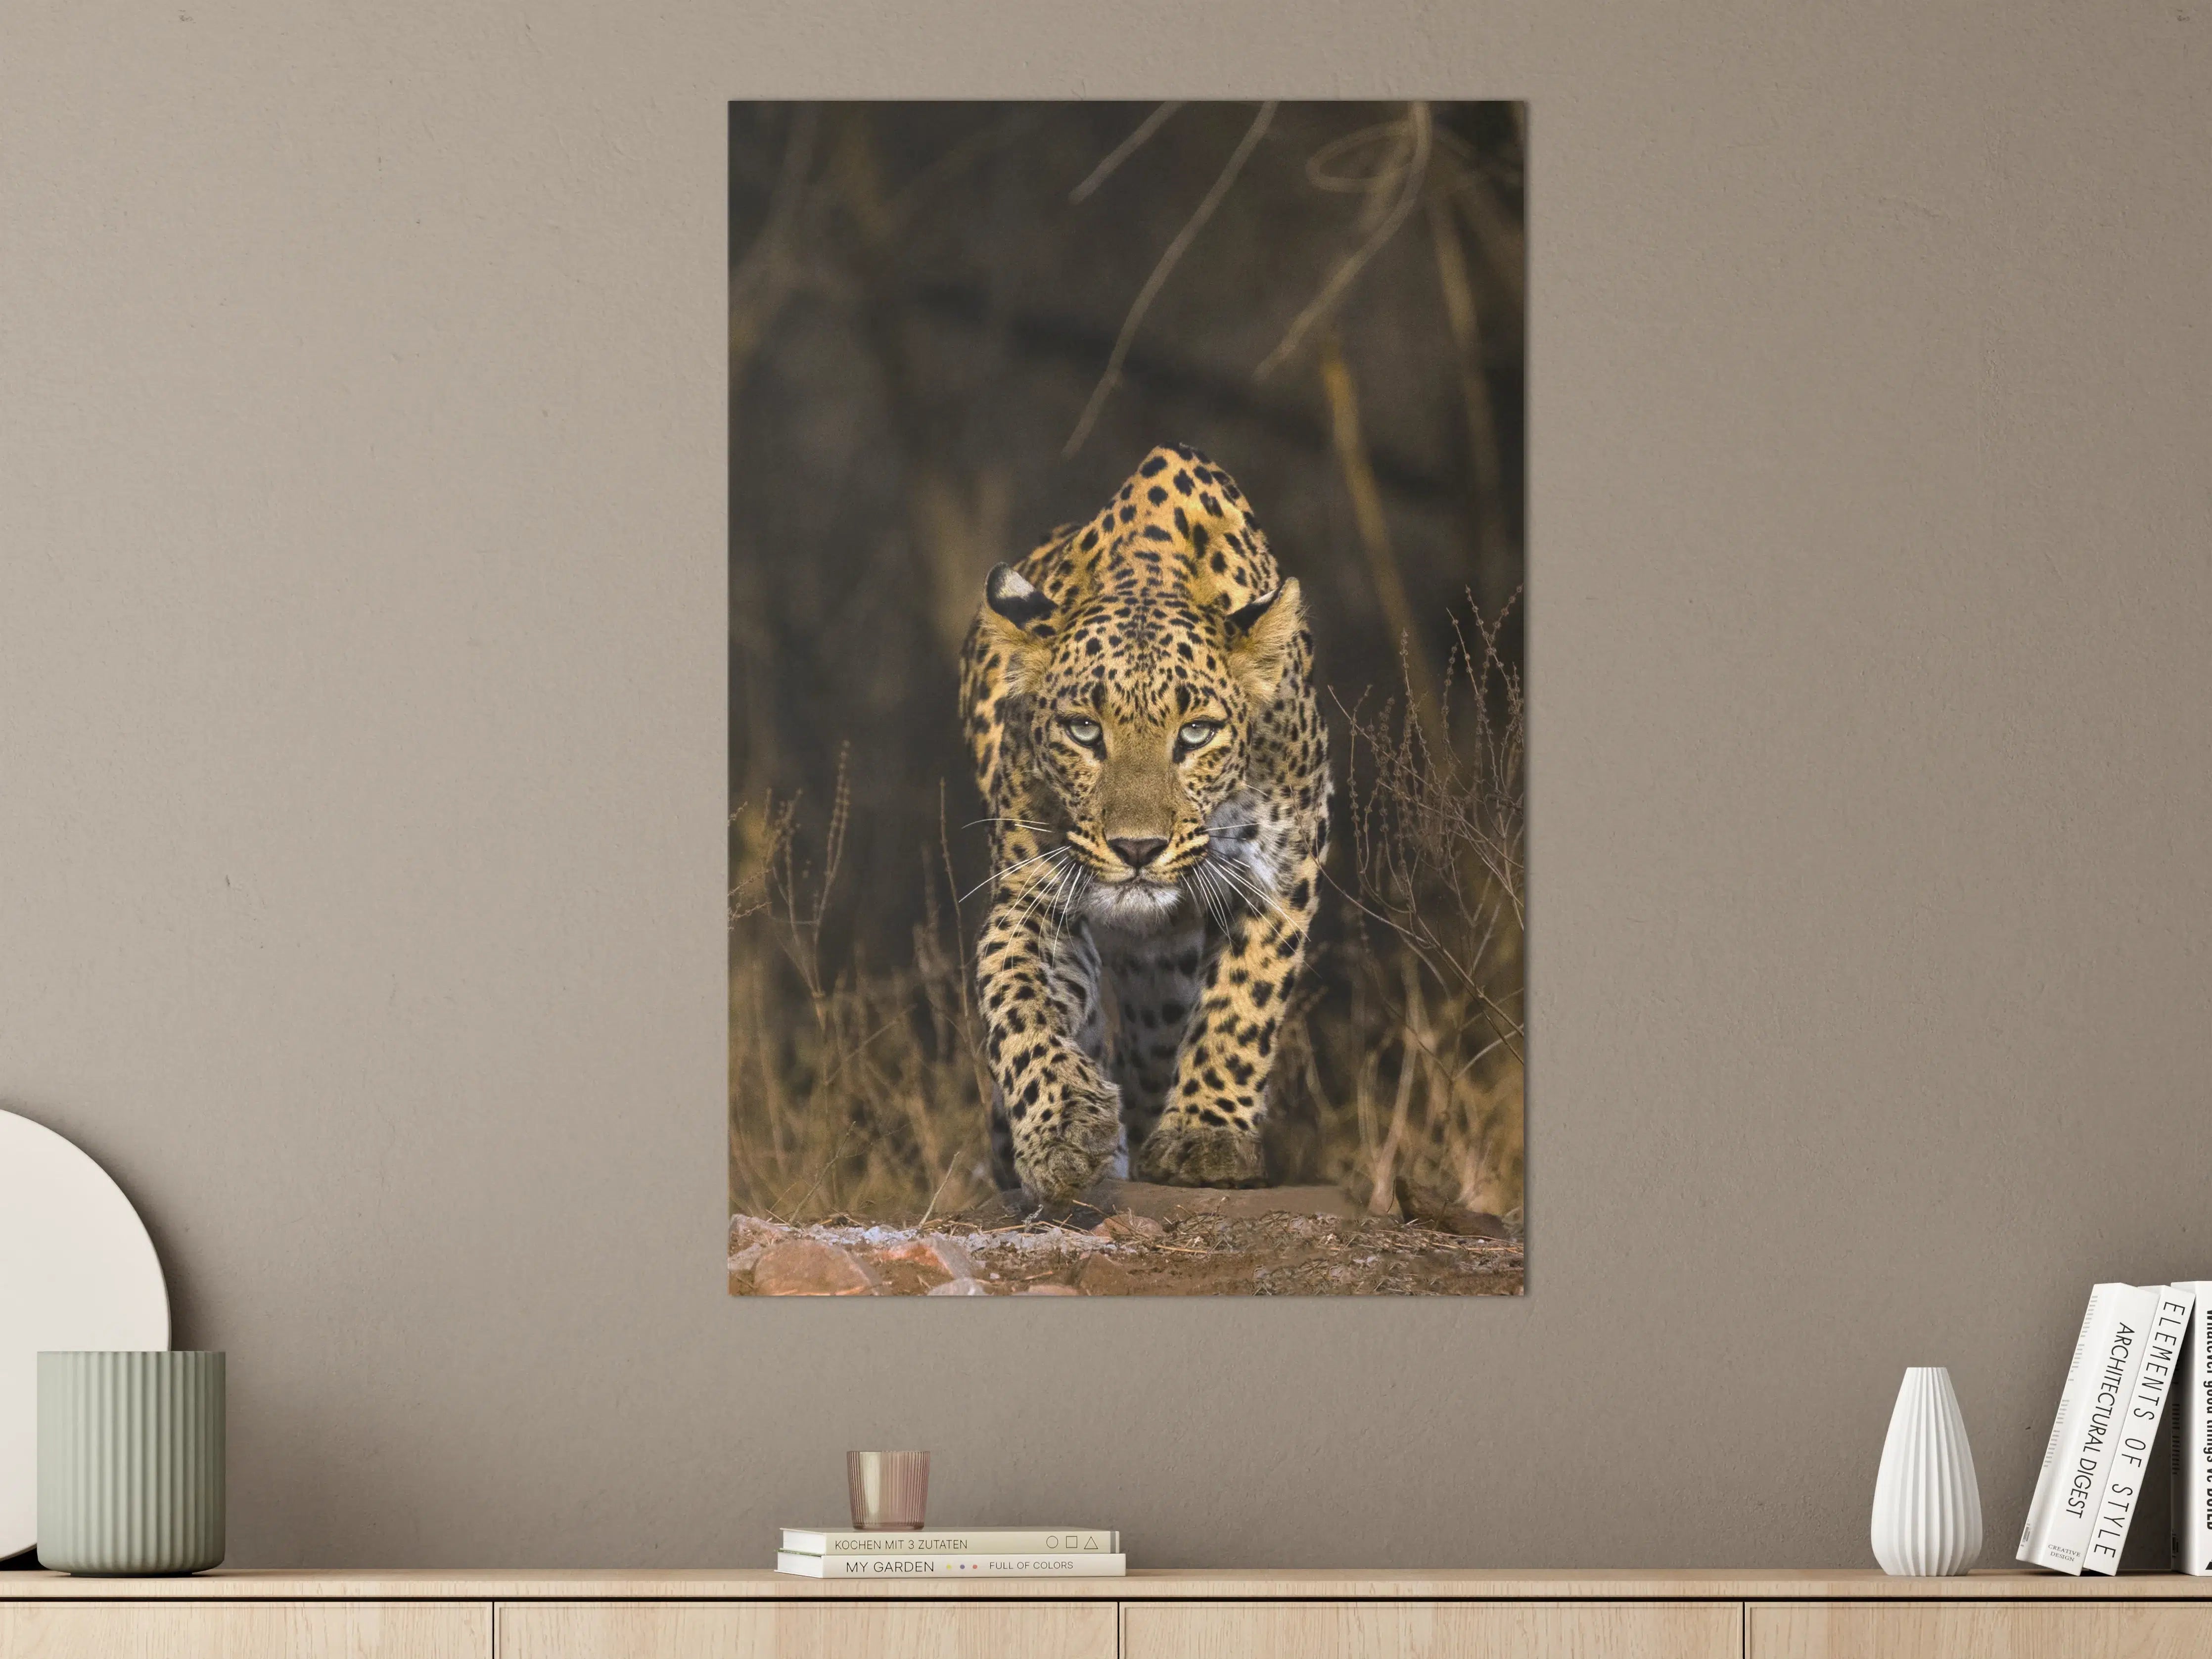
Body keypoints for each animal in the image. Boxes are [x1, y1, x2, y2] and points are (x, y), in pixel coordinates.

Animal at [959, 443, 1329, 1203]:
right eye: (1082, 731)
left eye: (1195, 733)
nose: (1137, 849)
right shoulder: (1034, 893)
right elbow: (1015, 995)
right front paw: (1062, 1127)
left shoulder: (1285, 865)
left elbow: (1244, 999)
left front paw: (1206, 1135)